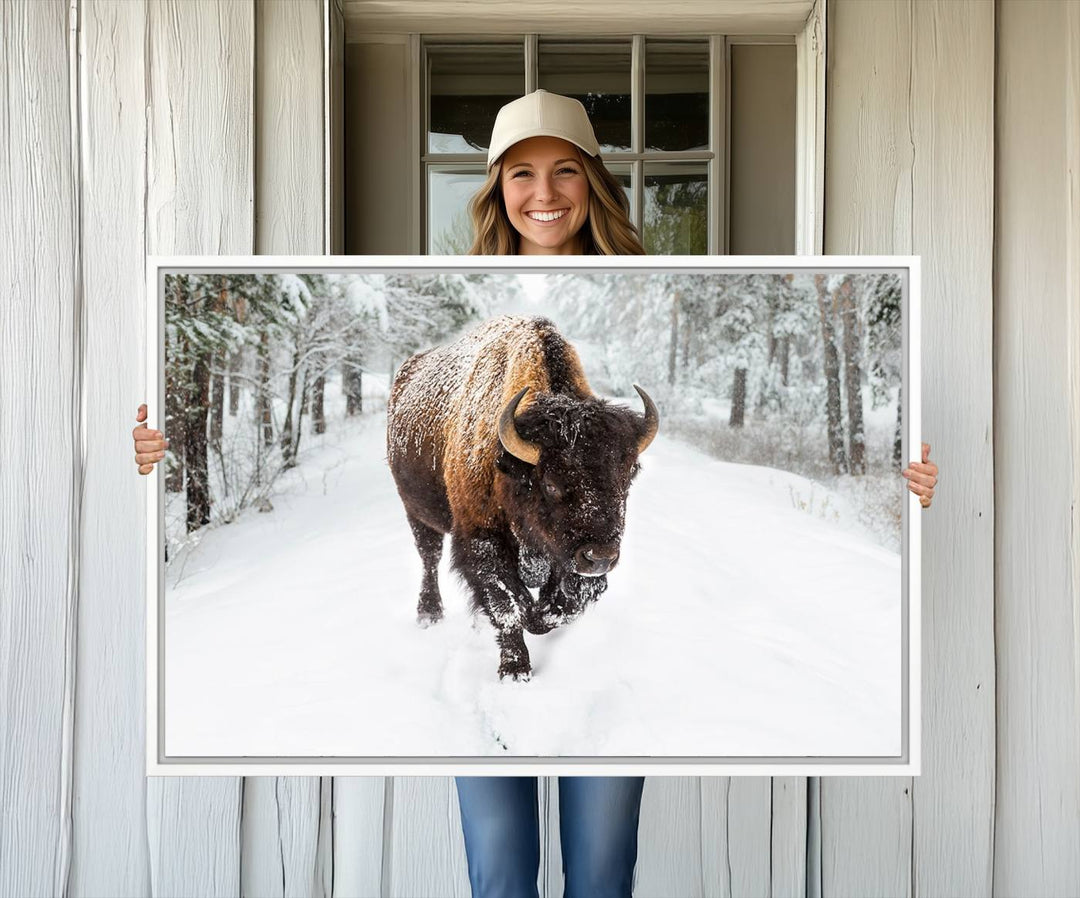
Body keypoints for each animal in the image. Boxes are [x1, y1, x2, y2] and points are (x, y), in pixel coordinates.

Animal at [388, 317, 656, 682]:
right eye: (551, 484)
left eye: (628, 476)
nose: (599, 557)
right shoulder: (482, 540)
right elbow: (509, 605)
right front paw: (515, 670)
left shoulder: (566, 558)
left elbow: (565, 604)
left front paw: (539, 617)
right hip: (416, 511)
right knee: (429, 557)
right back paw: (429, 613)